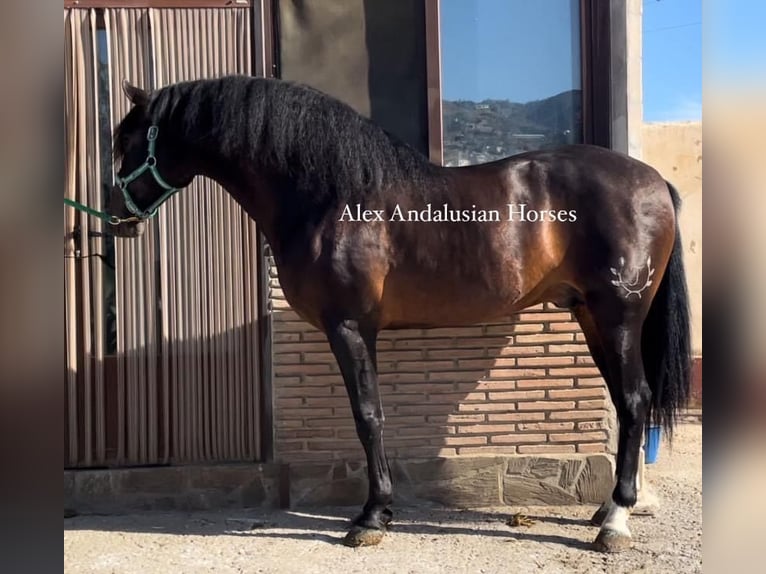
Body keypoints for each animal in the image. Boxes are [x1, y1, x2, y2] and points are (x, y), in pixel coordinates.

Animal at [106, 76, 688, 552]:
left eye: (127, 142)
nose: (115, 218)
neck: (330, 197)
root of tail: (653, 181)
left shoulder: (349, 326)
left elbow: (368, 417)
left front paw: (371, 516)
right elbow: (373, 416)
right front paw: (379, 510)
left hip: (618, 316)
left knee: (634, 400)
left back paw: (615, 522)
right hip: (592, 317)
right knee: (625, 404)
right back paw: (604, 508)